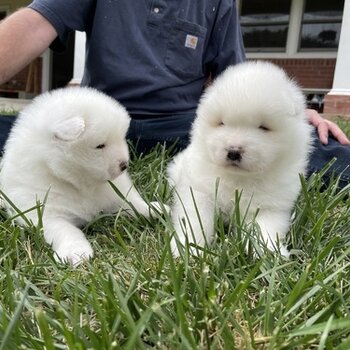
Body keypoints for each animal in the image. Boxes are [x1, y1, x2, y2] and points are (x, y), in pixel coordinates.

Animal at [0, 87, 163, 266]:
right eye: (100, 146)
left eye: (121, 138)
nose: (124, 165)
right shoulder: (46, 212)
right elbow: (66, 230)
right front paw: (75, 252)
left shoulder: (114, 192)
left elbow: (130, 202)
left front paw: (153, 209)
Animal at [168, 60, 314, 258]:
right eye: (221, 123)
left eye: (264, 127)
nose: (233, 151)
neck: (239, 179)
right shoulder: (199, 192)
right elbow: (196, 221)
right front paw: (189, 249)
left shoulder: (270, 207)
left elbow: (265, 229)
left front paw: (270, 253)